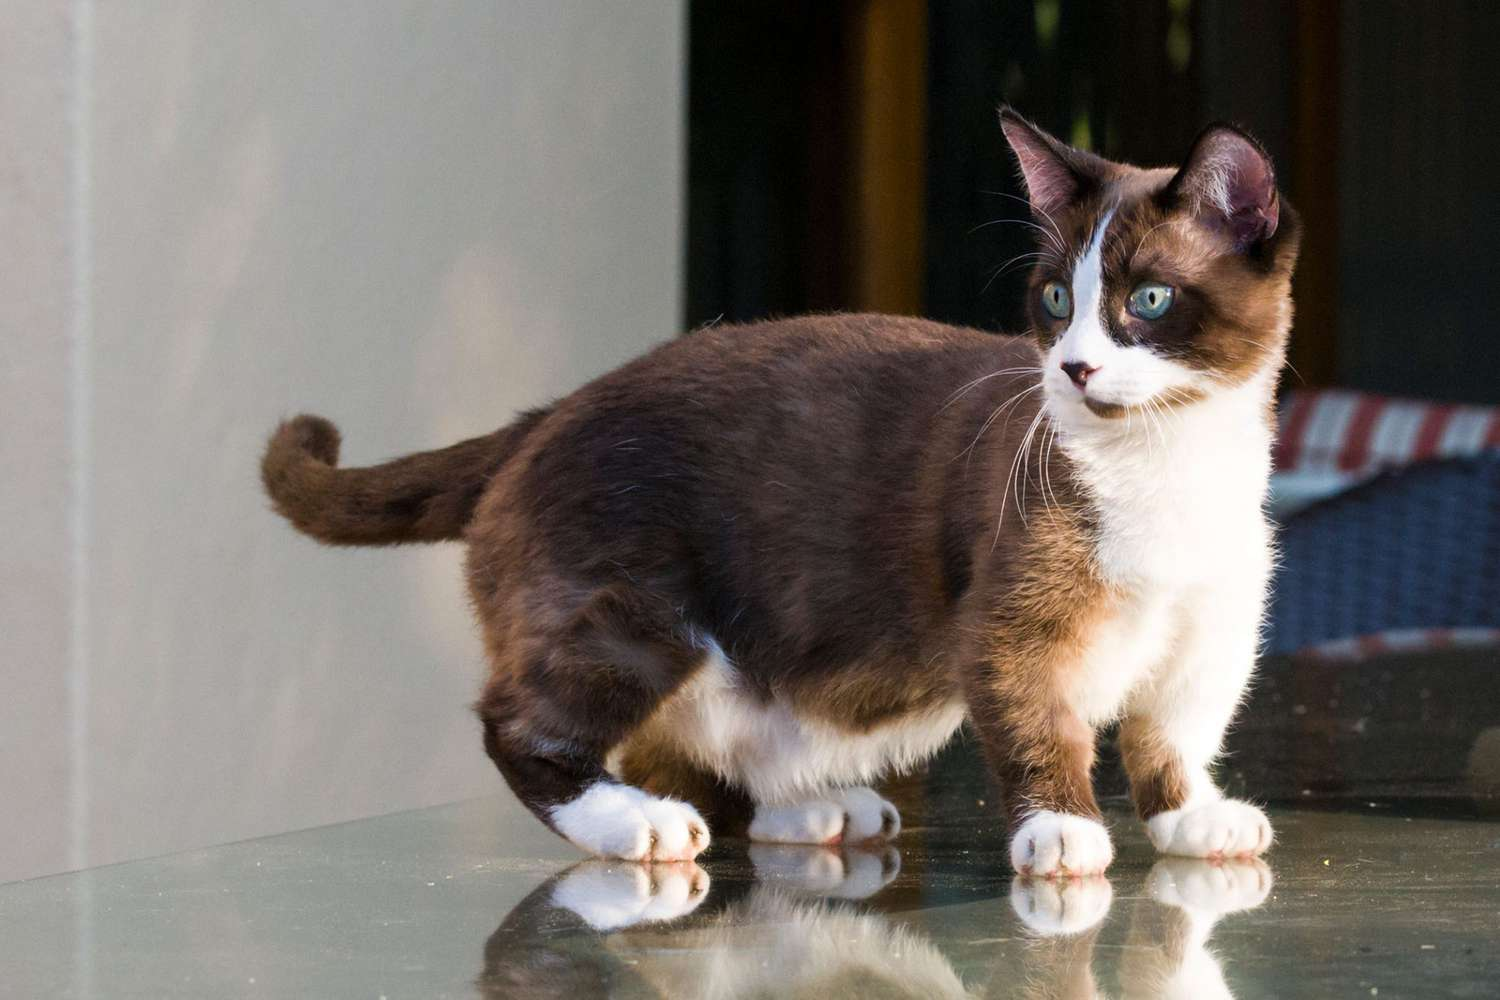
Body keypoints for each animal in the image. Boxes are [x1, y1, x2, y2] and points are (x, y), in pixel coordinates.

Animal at [264, 107, 1296, 875]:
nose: (1074, 368)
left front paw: (1191, 816)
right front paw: (1062, 829)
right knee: (527, 725)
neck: (1165, 462)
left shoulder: (1215, 630)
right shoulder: (1010, 620)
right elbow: (1038, 717)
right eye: (1054, 301)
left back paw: (806, 809)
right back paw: (633, 823)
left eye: (1149, 301)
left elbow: (1176, 732)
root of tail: (551, 409)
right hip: (631, 609)